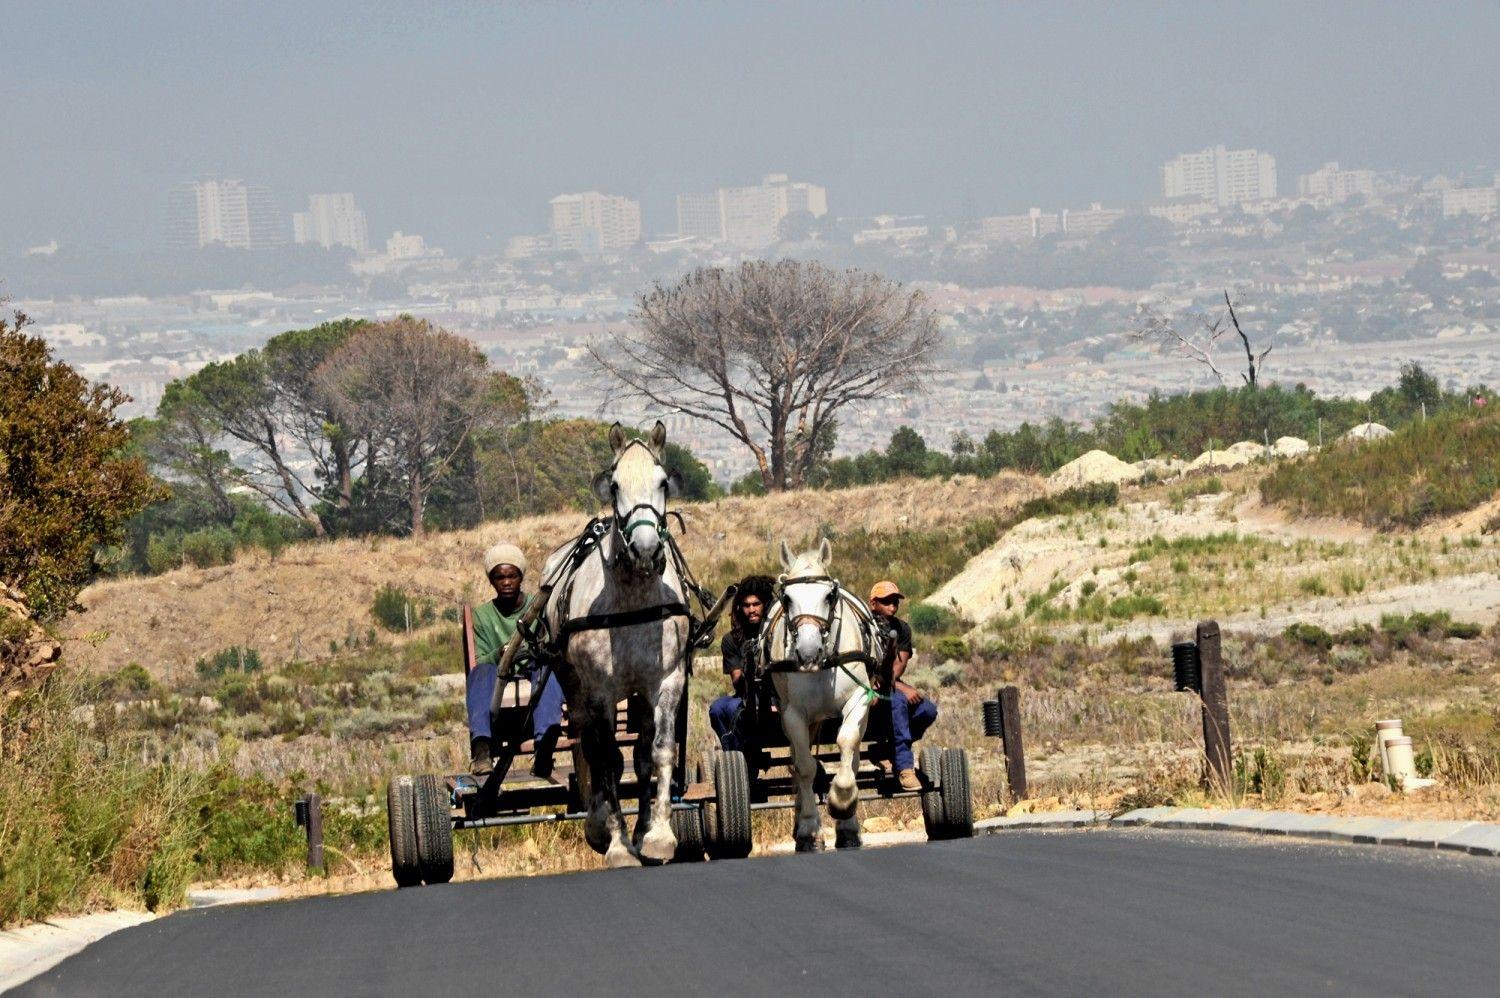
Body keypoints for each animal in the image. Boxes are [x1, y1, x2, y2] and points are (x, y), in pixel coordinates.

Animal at [540, 420, 690, 864]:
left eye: (663, 483)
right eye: (615, 485)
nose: (646, 550)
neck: (632, 600)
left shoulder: (667, 680)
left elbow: (659, 751)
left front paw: (658, 835)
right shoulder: (599, 691)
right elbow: (605, 758)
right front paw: (619, 844)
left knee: (638, 756)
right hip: (575, 688)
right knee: (590, 749)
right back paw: (600, 826)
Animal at [768, 537, 882, 846]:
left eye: (829, 596)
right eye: (787, 598)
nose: (807, 653)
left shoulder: (859, 699)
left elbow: (846, 744)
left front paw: (842, 802)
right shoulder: (792, 714)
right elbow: (805, 767)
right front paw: (808, 828)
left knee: (852, 758)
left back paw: (848, 827)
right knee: (797, 763)